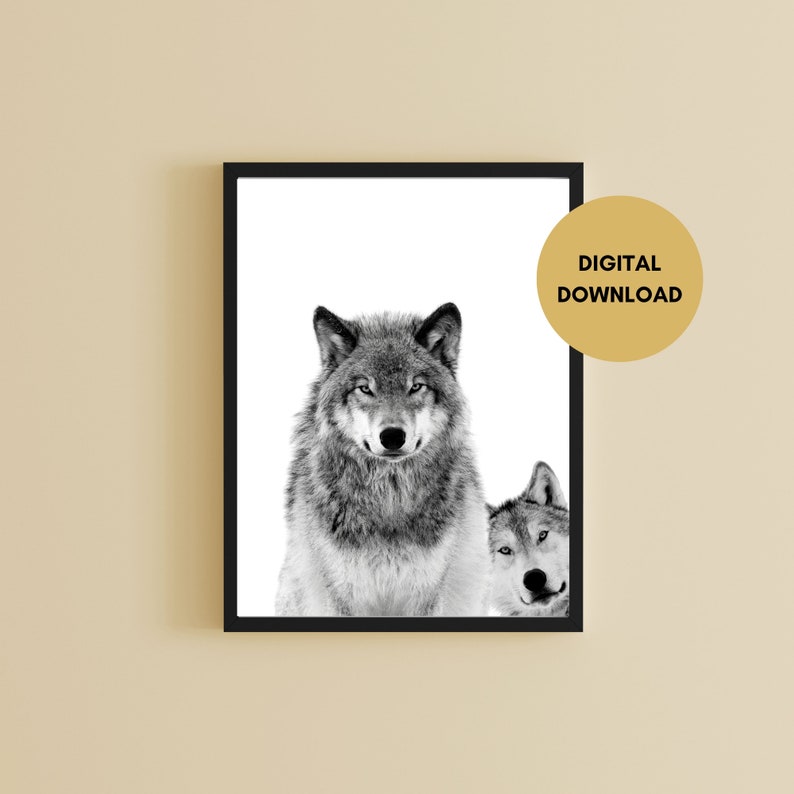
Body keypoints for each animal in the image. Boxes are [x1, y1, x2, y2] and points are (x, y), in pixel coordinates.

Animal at [275, 302, 490, 617]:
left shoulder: (426, 593)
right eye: (365, 388)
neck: (389, 500)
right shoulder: (341, 594)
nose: (392, 436)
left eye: (416, 386)